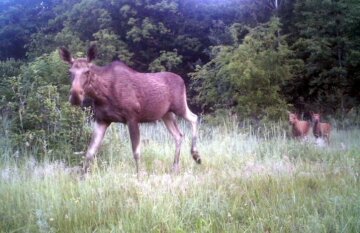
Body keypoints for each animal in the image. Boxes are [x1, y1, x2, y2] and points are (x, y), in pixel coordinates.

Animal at [58, 44, 200, 174]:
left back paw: (196, 155)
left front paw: (139, 176)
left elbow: (136, 152)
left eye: (87, 71)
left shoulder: (132, 118)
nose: (75, 96)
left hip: (179, 106)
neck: (101, 95)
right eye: (70, 72)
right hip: (166, 114)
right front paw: (82, 177)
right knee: (179, 135)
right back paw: (175, 167)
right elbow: (89, 152)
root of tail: (182, 80)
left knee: (194, 118)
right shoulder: (102, 120)